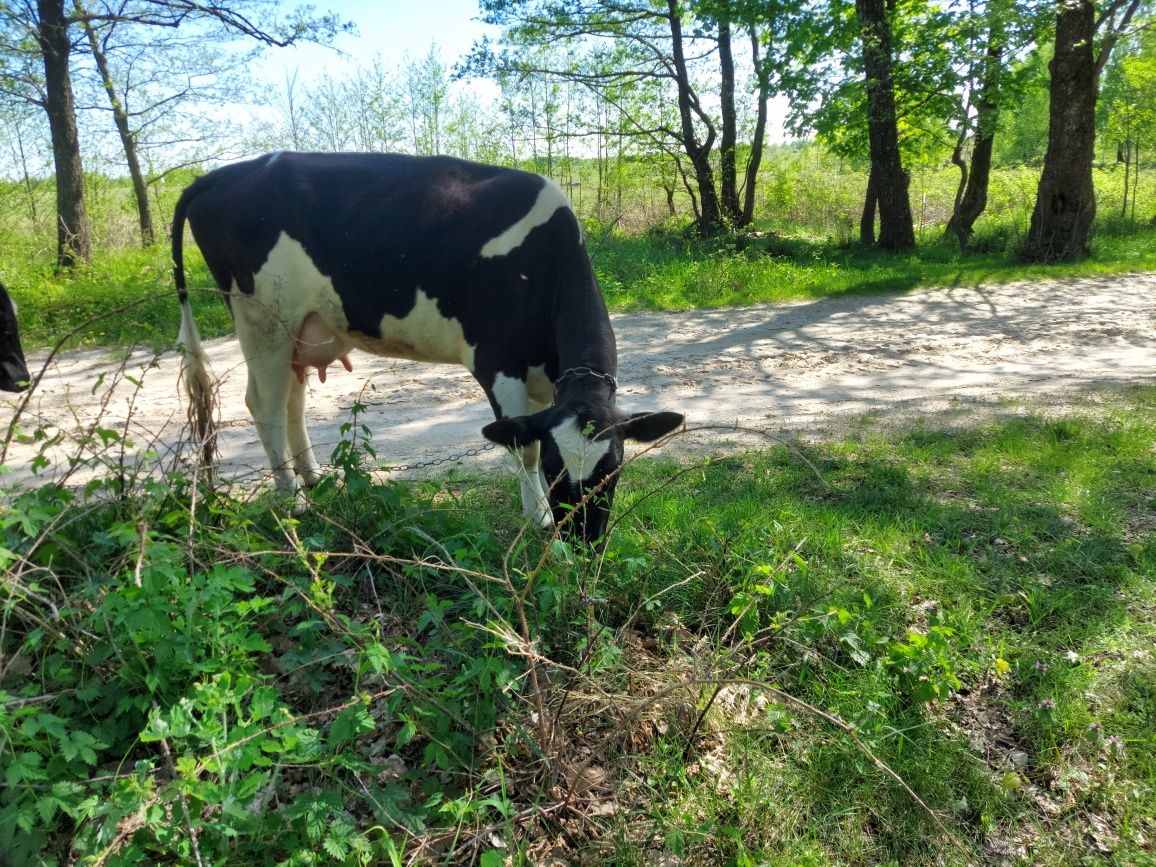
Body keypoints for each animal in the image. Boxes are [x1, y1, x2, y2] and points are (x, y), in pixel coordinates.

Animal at [169, 152, 675, 541]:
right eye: (556, 470)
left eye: (613, 470)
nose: (584, 539)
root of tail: (227, 173)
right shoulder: (496, 360)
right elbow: (522, 446)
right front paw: (539, 520)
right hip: (260, 316)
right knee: (265, 403)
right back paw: (293, 501)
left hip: (297, 326)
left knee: (292, 399)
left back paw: (311, 477)